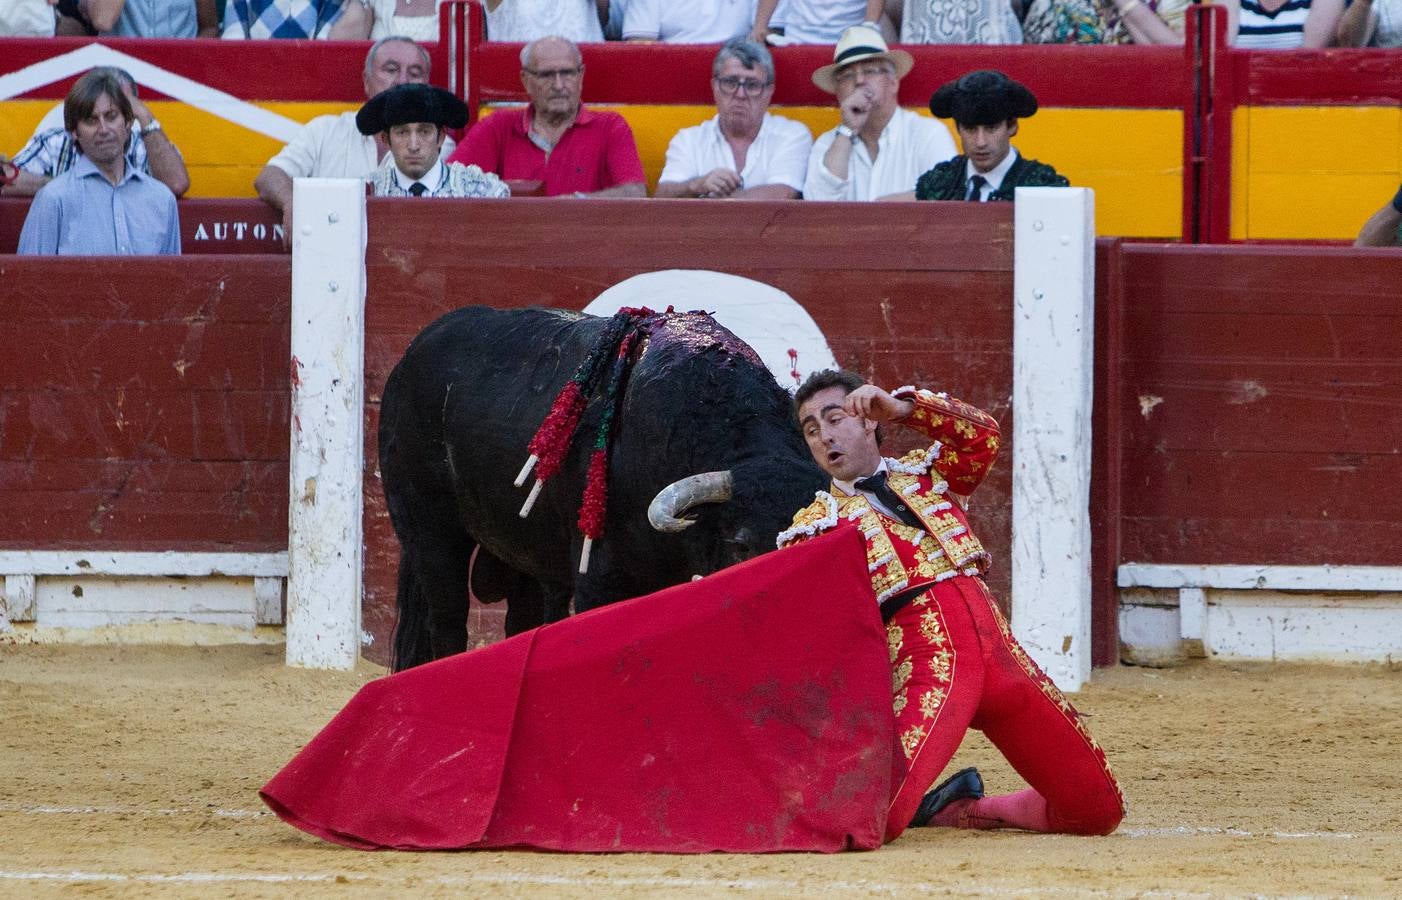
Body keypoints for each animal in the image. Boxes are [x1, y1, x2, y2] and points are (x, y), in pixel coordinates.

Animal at [378, 305, 824, 670]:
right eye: (742, 545)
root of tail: (407, 359)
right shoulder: (599, 578)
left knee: (520, 621)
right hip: (432, 536)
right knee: (447, 624)